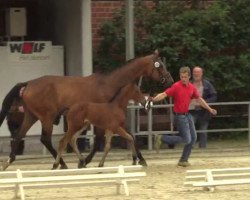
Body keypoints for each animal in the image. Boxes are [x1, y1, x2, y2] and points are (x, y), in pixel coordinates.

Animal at [0, 49, 173, 170]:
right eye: (160, 65)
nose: (170, 81)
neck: (111, 84)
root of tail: (28, 83)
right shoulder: (103, 121)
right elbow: (98, 142)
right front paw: (85, 161)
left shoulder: (113, 121)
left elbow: (130, 135)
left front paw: (139, 159)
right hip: (47, 117)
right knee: (46, 139)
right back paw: (61, 163)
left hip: (31, 116)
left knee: (19, 135)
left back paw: (9, 161)